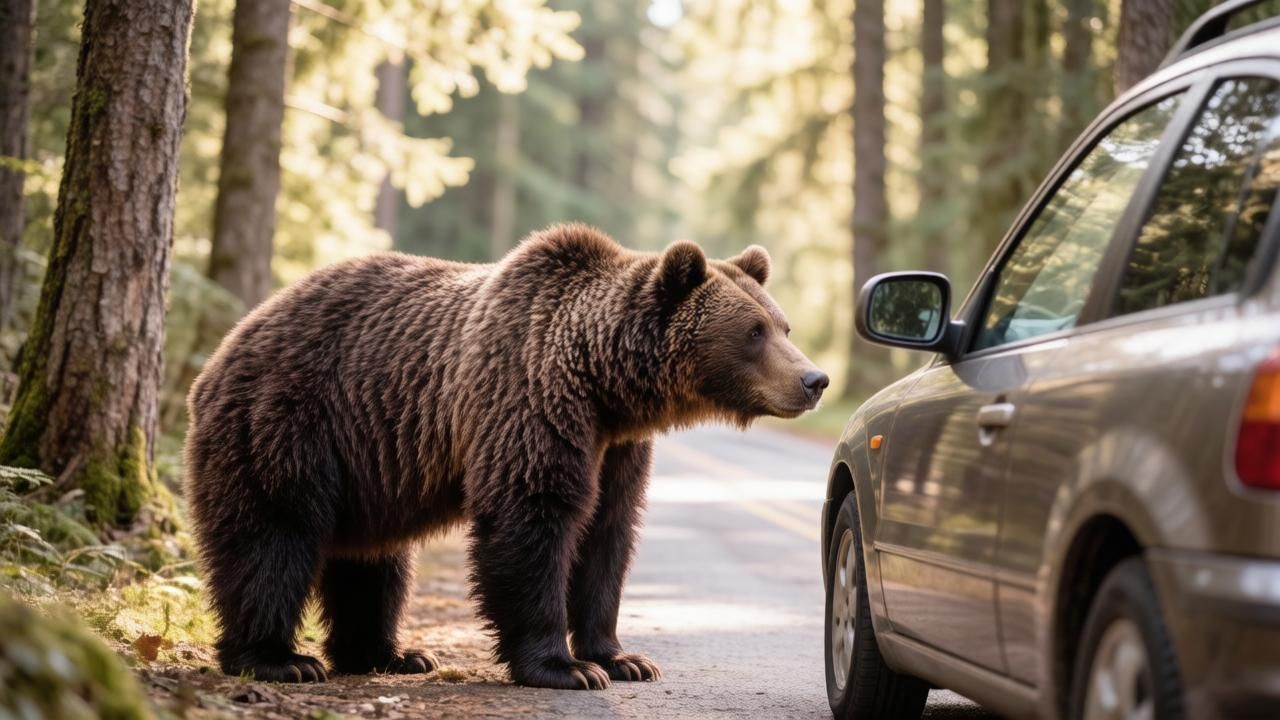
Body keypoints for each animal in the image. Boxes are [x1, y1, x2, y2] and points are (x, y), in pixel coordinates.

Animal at [184, 223, 828, 690]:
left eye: (783, 324)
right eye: (753, 331)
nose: (815, 379)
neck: (603, 383)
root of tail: (225, 346)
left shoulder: (617, 448)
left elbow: (607, 534)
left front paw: (622, 658)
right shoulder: (528, 398)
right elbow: (534, 517)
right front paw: (564, 667)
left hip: (368, 464)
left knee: (374, 560)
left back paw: (389, 654)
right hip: (288, 423)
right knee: (273, 535)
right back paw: (278, 658)